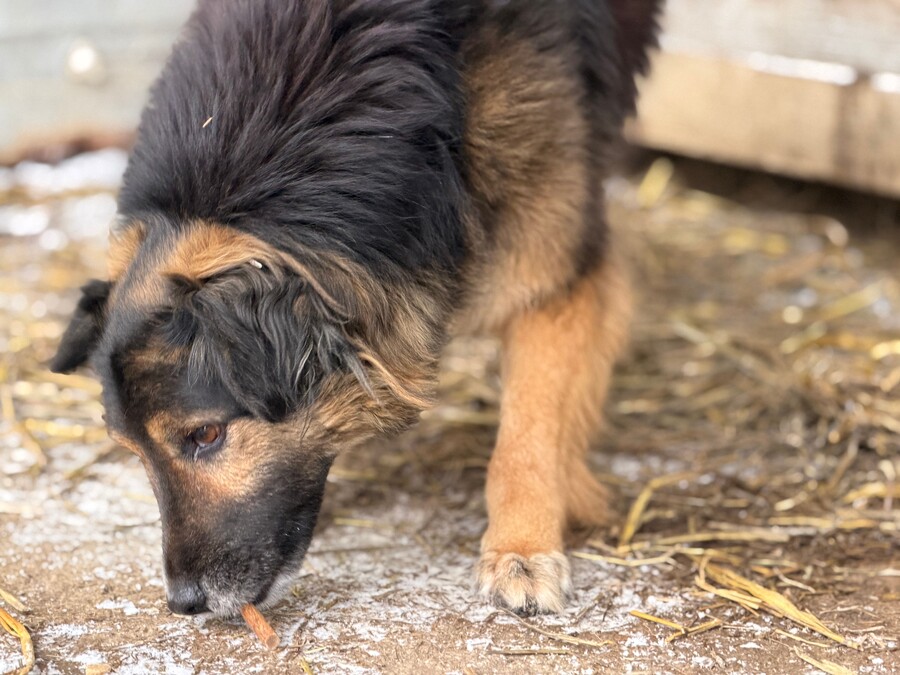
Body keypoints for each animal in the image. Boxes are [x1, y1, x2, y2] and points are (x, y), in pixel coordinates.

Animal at [51, 0, 661, 617]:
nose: (184, 602)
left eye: (205, 436)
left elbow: (528, 432)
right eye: (132, 450)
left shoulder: (554, 269)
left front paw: (524, 547)